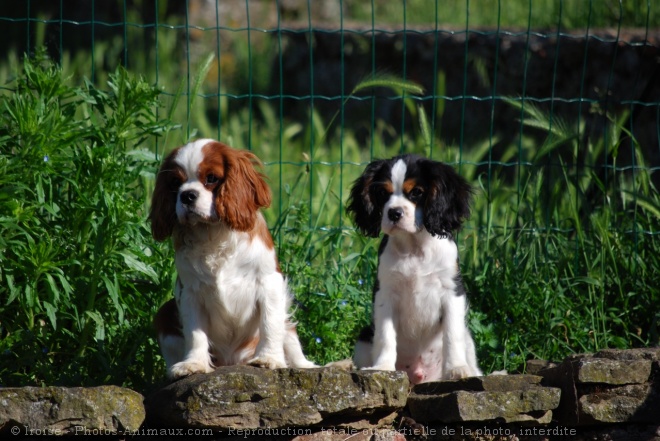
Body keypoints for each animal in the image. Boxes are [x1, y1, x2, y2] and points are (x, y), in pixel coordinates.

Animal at [151, 138, 316, 378]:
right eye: (175, 182)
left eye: (211, 178)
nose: (187, 195)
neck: (213, 233)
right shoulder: (189, 293)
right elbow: (195, 333)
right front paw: (194, 364)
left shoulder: (269, 283)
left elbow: (270, 323)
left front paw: (269, 359)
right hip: (164, 313)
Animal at [348, 154, 482, 382]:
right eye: (382, 192)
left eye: (417, 192)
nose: (394, 213)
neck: (414, 247)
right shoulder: (385, 294)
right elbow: (385, 335)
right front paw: (382, 367)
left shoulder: (452, 291)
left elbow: (452, 335)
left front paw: (457, 369)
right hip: (364, 337)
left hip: (468, 339)